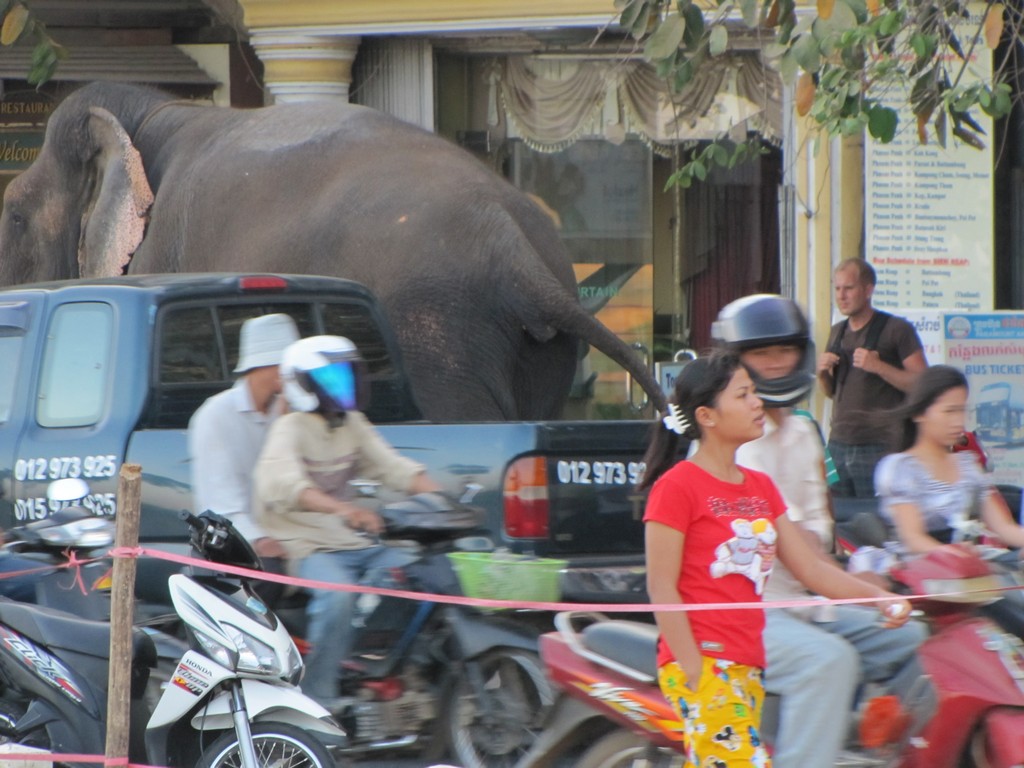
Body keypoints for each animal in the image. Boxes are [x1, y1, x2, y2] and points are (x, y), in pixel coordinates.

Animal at [0, 81, 663, 423]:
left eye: (12, 215)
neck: (145, 114)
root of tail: (512, 246)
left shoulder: (160, 256)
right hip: (537, 353)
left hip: (436, 332)